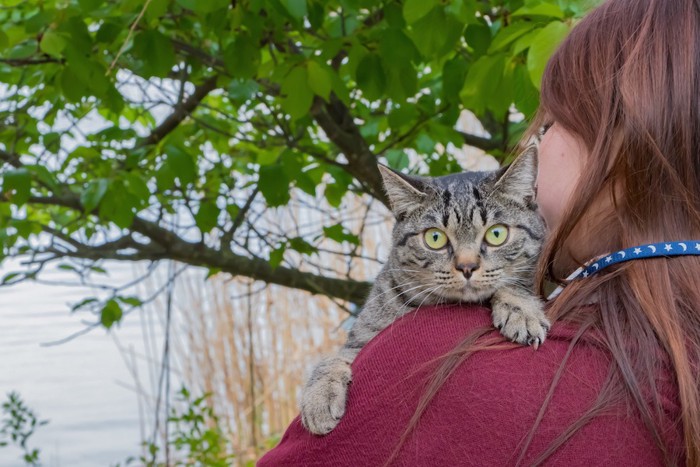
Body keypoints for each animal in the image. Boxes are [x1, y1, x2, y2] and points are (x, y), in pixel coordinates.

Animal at [300, 146, 548, 436]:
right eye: (435, 238)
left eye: (496, 234)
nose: (467, 266)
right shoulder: (361, 339)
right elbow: (334, 358)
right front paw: (318, 396)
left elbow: (511, 284)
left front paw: (521, 310)